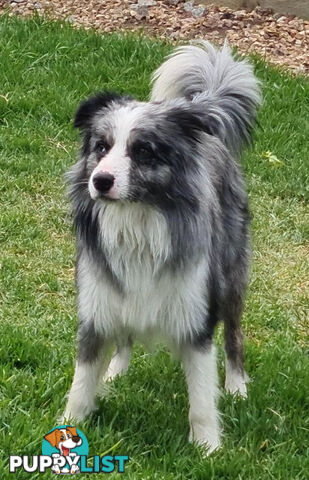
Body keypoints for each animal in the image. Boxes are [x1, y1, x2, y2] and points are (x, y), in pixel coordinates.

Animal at [63, 41, 260, 454]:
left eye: (142, 151)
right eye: (101, 147)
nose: (100, 181)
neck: (137, 222)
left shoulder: (195, 314)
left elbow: (201, 396)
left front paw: (207, 448)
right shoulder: (98, 304)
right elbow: (81, 381)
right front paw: (68, 425)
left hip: (232, 275)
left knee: (234, 334)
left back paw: (237, 387)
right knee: (124, 338)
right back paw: (116, 373)